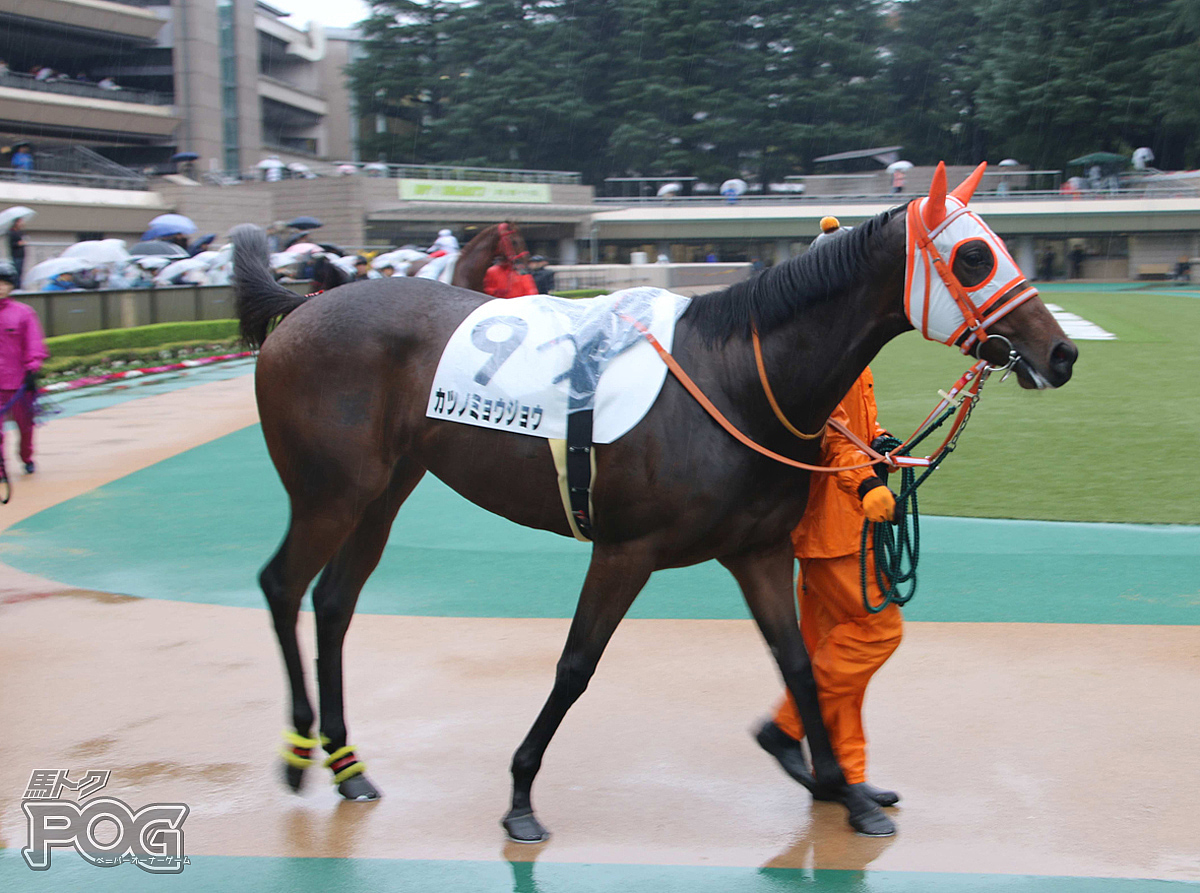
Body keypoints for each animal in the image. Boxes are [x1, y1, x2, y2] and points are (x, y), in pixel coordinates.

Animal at [231, 164, 1080, 840]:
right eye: (973, 255)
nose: (1063, 351)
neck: (733, 377)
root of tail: (303, 305)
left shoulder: (758, 551)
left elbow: (800, 664)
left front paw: (844, 789)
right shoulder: (625, 550)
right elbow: (576, 664)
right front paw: (520, 793)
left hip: (384, 491)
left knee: (334, 601)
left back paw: (347, 764)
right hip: (329, 492)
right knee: (282, 584)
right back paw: (300, 753)